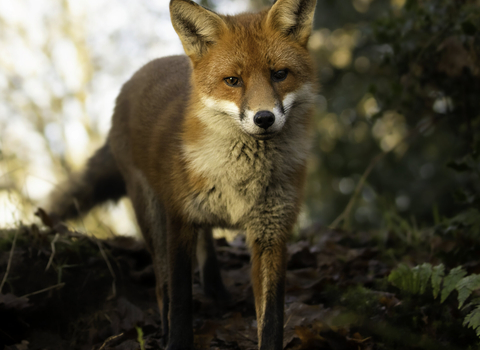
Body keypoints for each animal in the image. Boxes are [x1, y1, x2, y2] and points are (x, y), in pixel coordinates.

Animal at [47, 0, 318, 348]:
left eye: (280, 74)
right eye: (233, 80)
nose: (264, 118)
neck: (240, 180)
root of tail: (147, 67)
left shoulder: (271, 232)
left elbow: (271, 318)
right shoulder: (180, 220)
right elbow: (179, 298)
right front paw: (176, 340)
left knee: (207, 244)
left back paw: (216, 289)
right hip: (150, 211)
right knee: (161, 284)